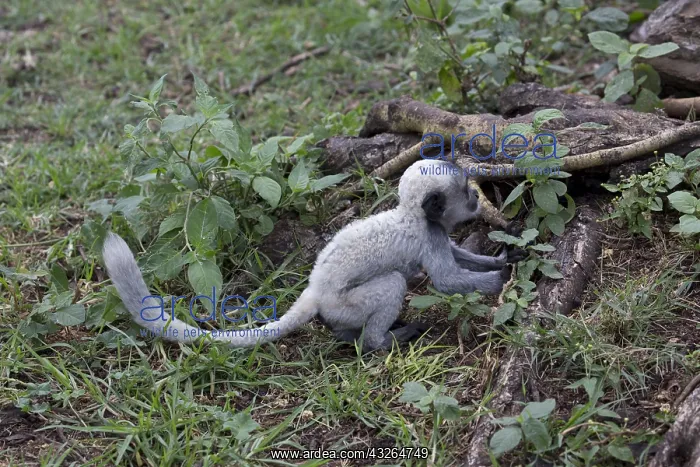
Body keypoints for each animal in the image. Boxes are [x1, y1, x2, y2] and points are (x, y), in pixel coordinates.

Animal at [102, 159, 523, 352]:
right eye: (466, 192)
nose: (476, 200)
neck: (411, 213)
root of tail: (314, 290)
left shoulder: (436, 234)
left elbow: (458, 256)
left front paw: (504, 257)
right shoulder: (428, 235)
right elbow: (447, 280)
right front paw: (504, 278)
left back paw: (348, 336)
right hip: (345, 304)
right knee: (391, 284)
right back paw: (380, 341)